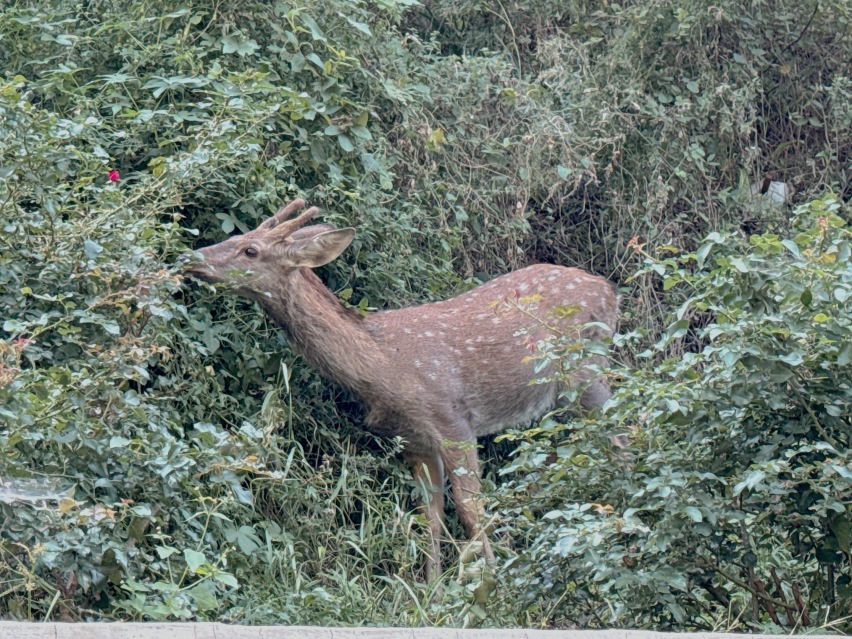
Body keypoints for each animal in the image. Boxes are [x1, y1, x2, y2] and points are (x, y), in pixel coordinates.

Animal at [185, 199, 620, 580]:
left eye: (250, 250)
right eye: (239, 235)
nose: (191, 258)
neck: (383, 368)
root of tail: (609, 289)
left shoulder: (453, 420)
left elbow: (471, 509)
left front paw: (491, 584)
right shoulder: (413, 440)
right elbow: (430, 516)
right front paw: (432, 590)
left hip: (585, 370)